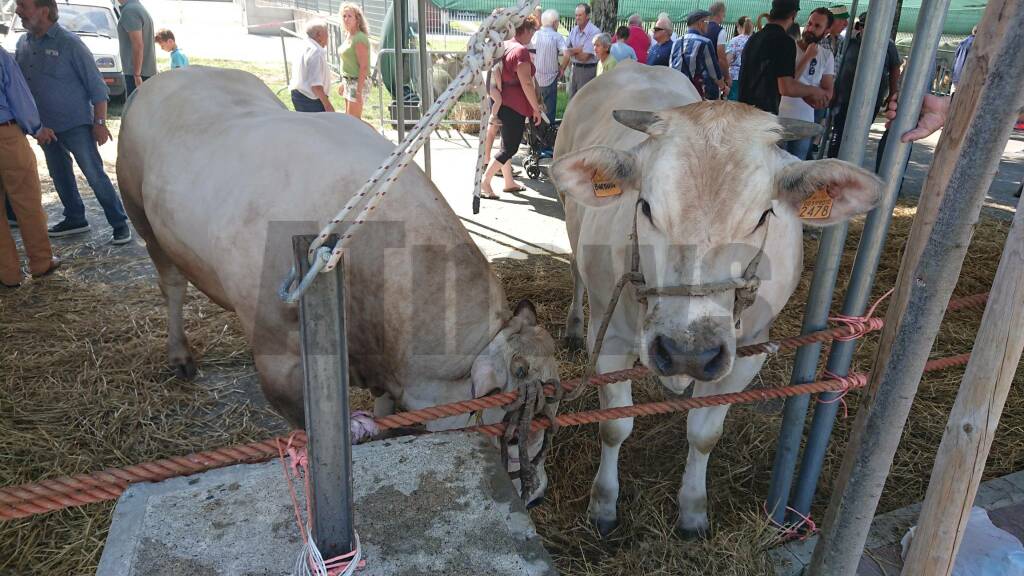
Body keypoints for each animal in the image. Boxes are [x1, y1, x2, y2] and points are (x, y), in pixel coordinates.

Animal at [117, 66, 561, 498]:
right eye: (511, 428)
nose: (536, 494)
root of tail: (166, 78)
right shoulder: (280, 366)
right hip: (142, 217)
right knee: (172, 285)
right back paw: (180, 355)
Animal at [552, 62, 880, 532]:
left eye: (764, 215)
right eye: (645, 207)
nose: (687, 352)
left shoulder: (748, 350)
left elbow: (705, 433)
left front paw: (693, 510)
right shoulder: (610, 337)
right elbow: (614, 426)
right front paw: (603, 505)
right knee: (576, 274)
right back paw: (573, 328)